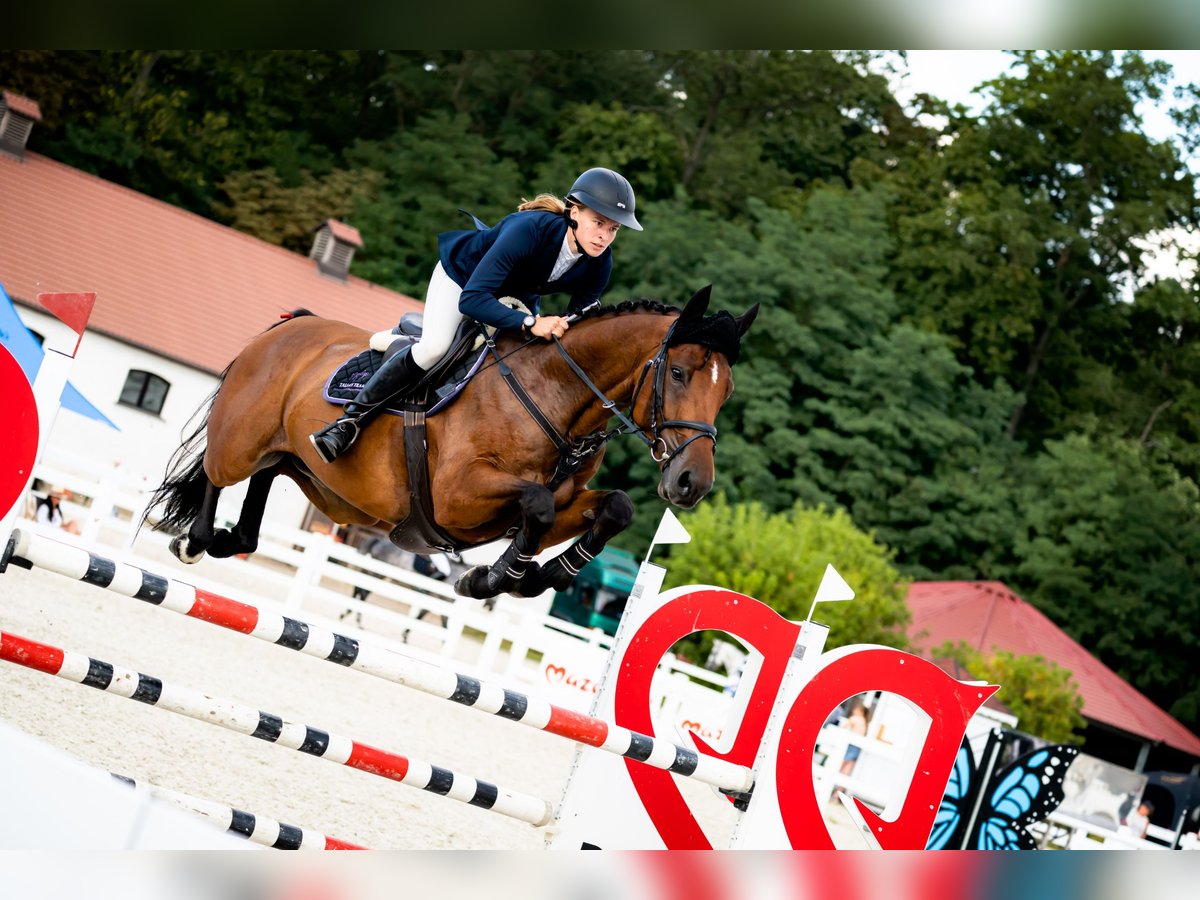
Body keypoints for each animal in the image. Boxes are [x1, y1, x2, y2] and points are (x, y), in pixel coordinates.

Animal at [146, 286, 758, 600]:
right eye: (677, 373)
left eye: (726, 389)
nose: (691, 484)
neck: (555, 392)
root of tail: (289, 324)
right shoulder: (459, 496)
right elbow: (535, 504)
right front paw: (494, 577)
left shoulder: (561, 504)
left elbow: (615, 507)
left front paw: (540, 576)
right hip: (243, 438)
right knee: (219, 475)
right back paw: (196, 541)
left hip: (317, 479)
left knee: (265, 480)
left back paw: (233, 538)